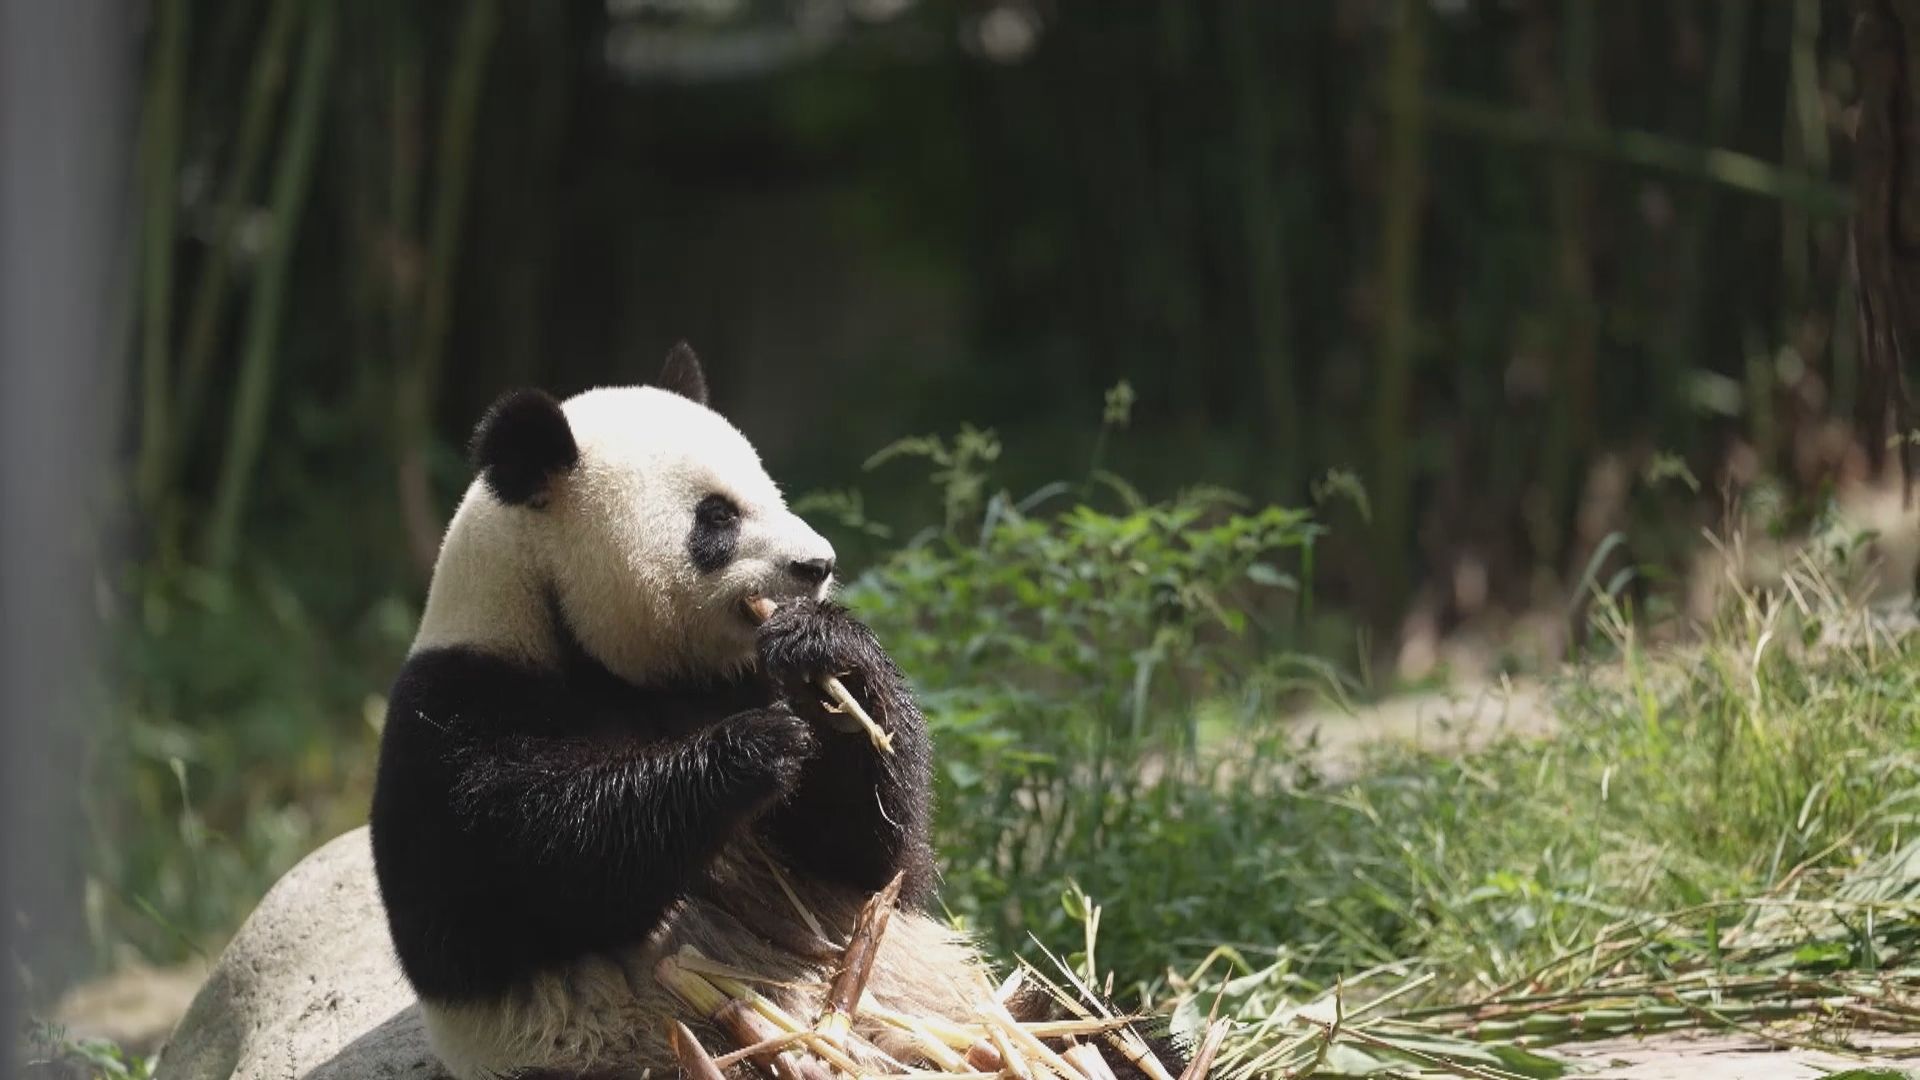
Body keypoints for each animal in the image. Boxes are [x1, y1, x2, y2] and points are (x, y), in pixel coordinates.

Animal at [362, 345, 1167, 1076]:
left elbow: (871, 861)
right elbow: (520, 875)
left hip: (973, 1005)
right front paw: (750, 751)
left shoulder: (738, 675)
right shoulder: (456, 714)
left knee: (1101, 1027)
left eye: (770, 491)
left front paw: (829, 661)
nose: (818, 565)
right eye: (716, 517)